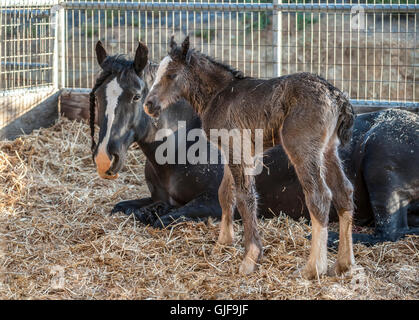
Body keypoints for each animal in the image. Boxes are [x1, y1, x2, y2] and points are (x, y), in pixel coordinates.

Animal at [90, 42, 418, 245]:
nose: (105, 159)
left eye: (135, 96)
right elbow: (127, 208)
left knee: (389, 232)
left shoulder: (212, 202)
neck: (181, 147)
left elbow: (164, 218)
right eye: (97, 96)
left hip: (382, 173)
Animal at [144, 37, 354, 278]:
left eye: (171, 75)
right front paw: (223, 243)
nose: (149, 105)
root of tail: (336, 96)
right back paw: (343, 264)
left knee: (319, 196)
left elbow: (245, 197)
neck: (217, 95)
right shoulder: (233, 149)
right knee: (344, 191)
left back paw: (313, 268)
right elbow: (225, 194)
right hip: (328, 150)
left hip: (302, 148)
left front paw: (250, 257)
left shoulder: (236, 147)